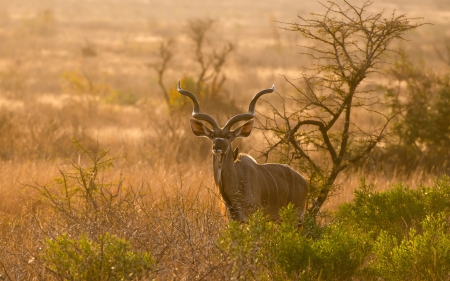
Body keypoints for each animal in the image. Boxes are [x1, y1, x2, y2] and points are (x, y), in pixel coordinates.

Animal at [178, 81, 308, 221]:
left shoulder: (253, 217)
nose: (217, 147)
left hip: (296, 217)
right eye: (212, 136)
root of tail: (304, 181)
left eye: (228, 136)